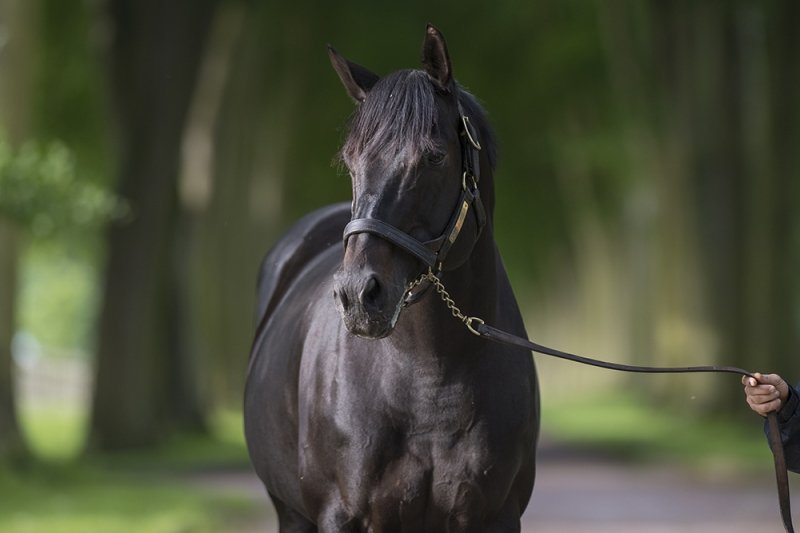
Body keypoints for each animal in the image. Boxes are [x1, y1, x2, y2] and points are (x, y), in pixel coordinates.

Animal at [244, 25, 540, 532]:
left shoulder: (495, 517)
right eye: (350, 160)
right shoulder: (340, 516)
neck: (429, 378)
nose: (358, 294)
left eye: (435, 157)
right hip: (291, 513)